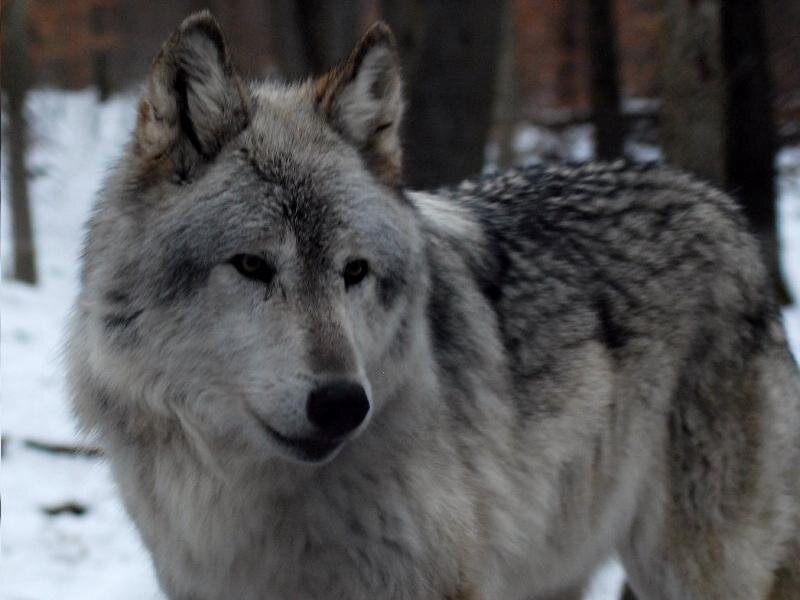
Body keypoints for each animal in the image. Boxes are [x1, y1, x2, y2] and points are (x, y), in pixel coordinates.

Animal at [65, 11, 800, 600]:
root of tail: (721, 208)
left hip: (694, 568)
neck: (254, 495)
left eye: (354, 272)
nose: (343, 404)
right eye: (252, 265)